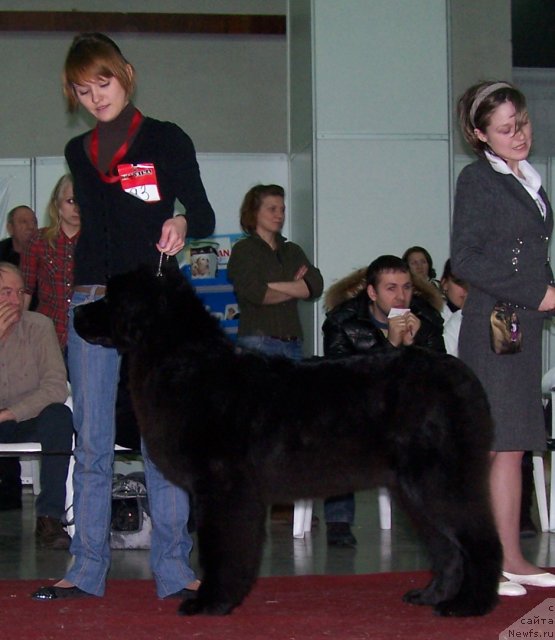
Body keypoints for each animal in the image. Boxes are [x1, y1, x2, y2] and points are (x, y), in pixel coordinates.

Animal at [71, 264, 502, 616]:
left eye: (111, 298)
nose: (76, 312)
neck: (184, 362)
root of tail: (465, 378)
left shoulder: (222, 487)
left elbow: (219, 547)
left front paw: (211, 602)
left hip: (440, 481)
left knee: (480, 541)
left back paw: (471, 605)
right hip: (416, 490)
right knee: (447, 549)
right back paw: (432, 597)